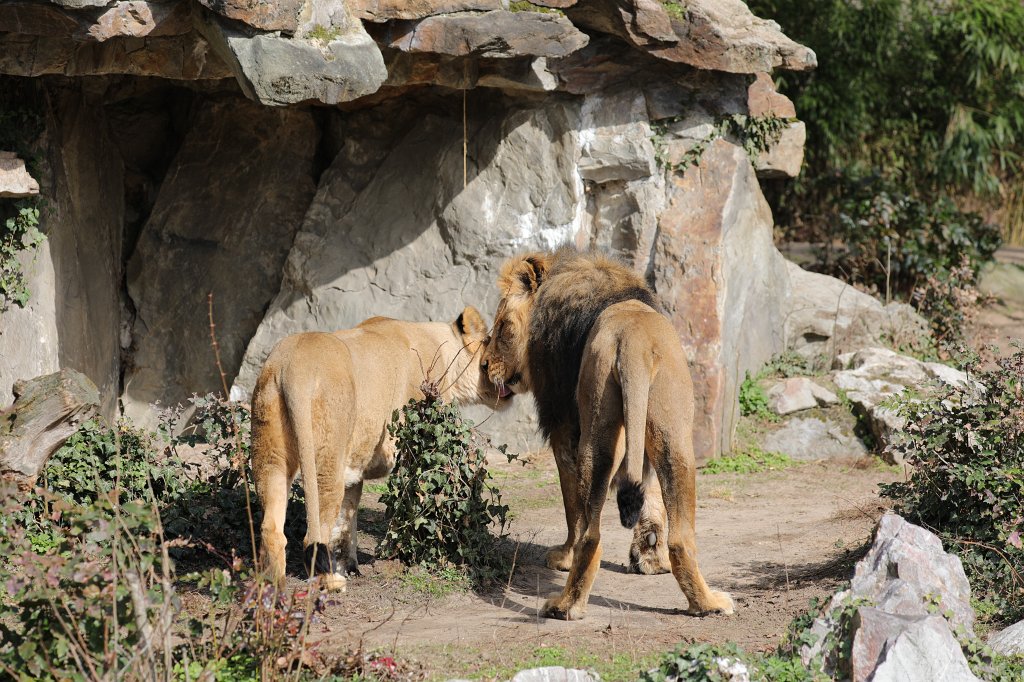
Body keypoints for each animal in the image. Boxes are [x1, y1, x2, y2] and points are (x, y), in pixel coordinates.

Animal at [251, 307, 510, 592]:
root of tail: (294, 367)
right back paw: (331, 582)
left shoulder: (354, 467)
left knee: (271, 527)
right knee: (313, 534)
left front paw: (350, 565)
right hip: (326, 454)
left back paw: (271, 585)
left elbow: (348, 519)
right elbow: (416, 500)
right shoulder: (416, 446)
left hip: (270, 449)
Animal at [480, 248, 734, 620]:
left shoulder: (562, 427)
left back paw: (566, 606)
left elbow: (571, 509)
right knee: (680, 538)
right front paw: (649, 554)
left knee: (590, 533)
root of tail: (634, 343)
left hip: (594, 434)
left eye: (502, 327)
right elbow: (650, 491)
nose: (484, 366)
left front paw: (563, 557)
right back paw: (707, 604)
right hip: (673, 437)